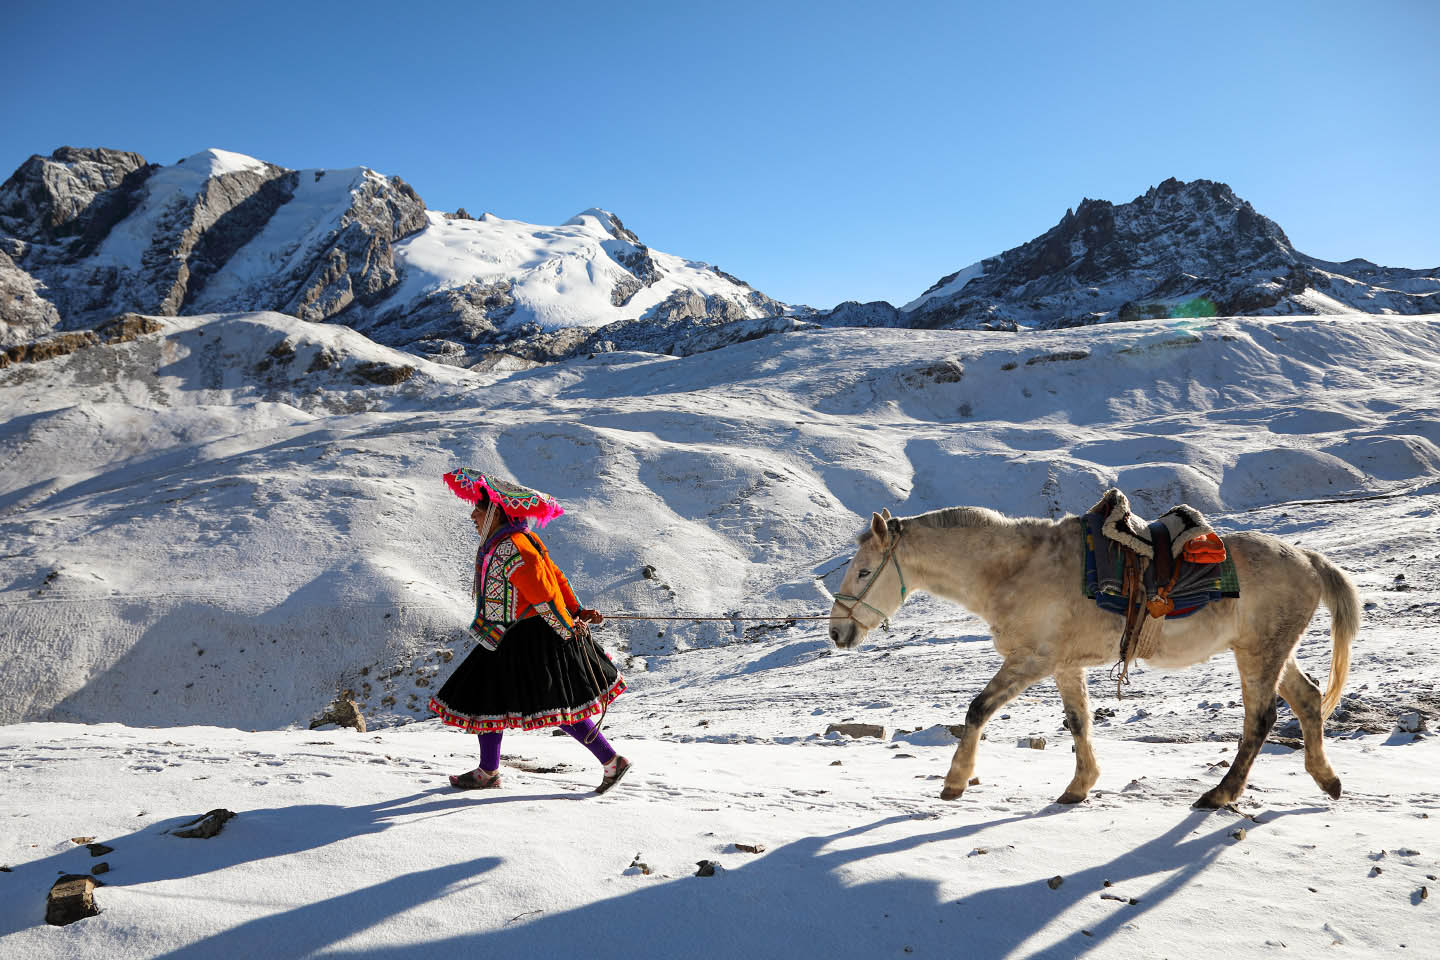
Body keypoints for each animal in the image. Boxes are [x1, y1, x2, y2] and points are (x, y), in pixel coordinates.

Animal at [829, 506, 1353, 805]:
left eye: (864, 572)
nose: (837, 631)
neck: (1012, 570)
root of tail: (1310, 560)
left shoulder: (1032, 661)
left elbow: (977, 709)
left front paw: (955, 782)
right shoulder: (1065, 666)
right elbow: (1079, 722)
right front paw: (1079, 787)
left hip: (1259, 655)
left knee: (1260, 720)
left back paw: (1220, 794)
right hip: (1269, 652)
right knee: (1308, 700)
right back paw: (1327, 781)